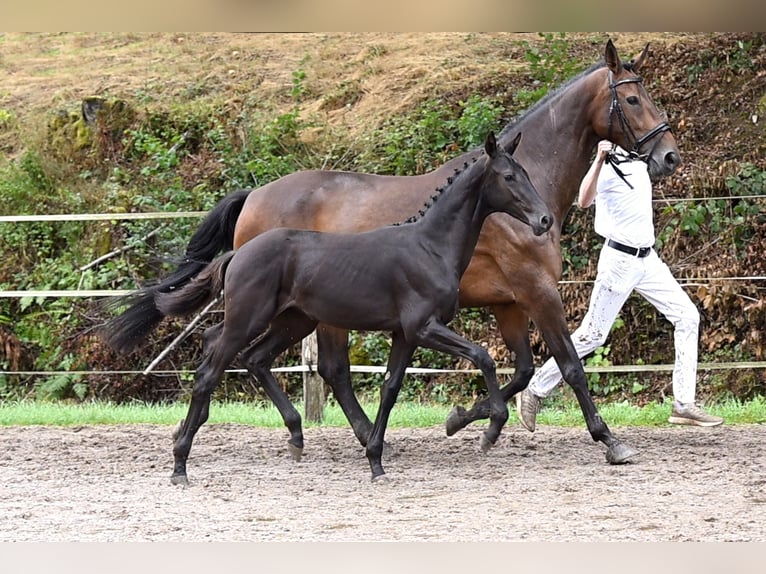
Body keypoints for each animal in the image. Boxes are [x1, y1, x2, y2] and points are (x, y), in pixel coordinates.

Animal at [156, 132, 552, 484]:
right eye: (509, 176)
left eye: (527, 172)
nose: (544, 220)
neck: (429, 246)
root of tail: (238, 253)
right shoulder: (425, 326)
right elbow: (483, 357)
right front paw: (491, 429)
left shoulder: (405, 334)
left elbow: (390, 388)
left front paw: (376, 462)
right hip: (248, 320)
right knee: (210, 373)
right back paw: (179, 465)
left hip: (293, 322)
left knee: (254, 358)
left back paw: (294, 437)